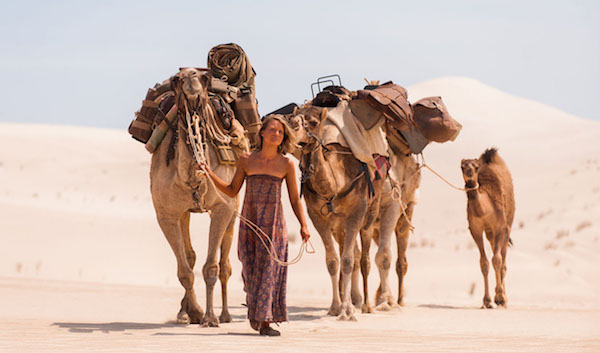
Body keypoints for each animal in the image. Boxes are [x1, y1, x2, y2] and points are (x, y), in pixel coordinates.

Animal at [150, 67, 258, 326]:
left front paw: (210, 317)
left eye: (205, 78)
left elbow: (211, 267)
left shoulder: (222, 207)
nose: (192, 83)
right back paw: (185, 311)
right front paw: (195, 312)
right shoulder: (166, 214)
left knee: (225, 264)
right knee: (190, 256)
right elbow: (184, 270)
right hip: (186, 213)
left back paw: (226, 314)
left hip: (234, 206)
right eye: (178, 80)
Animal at [286, 104, 404, 320]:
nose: (292, 130)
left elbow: (348, 261)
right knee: (353, 254)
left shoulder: (356, 212)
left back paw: (368, 305)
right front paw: (335, 307)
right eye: (291, 117)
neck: (334, 185)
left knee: (366, 256)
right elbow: (333, 261)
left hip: (372, 211)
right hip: (340, 225)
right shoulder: (317, 217)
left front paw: (347, 311)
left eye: (313, 122)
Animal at [460, 147, 516, 306]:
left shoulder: (501, 228)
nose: (469, 172)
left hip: (508, 225)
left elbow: (497, 261)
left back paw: (504, 298)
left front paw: (500, 298)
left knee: (503, 261)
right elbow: (484, 263)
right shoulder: (476, 230)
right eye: (462, 167)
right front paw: (486, 301)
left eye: (476, 167)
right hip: (490, 233)